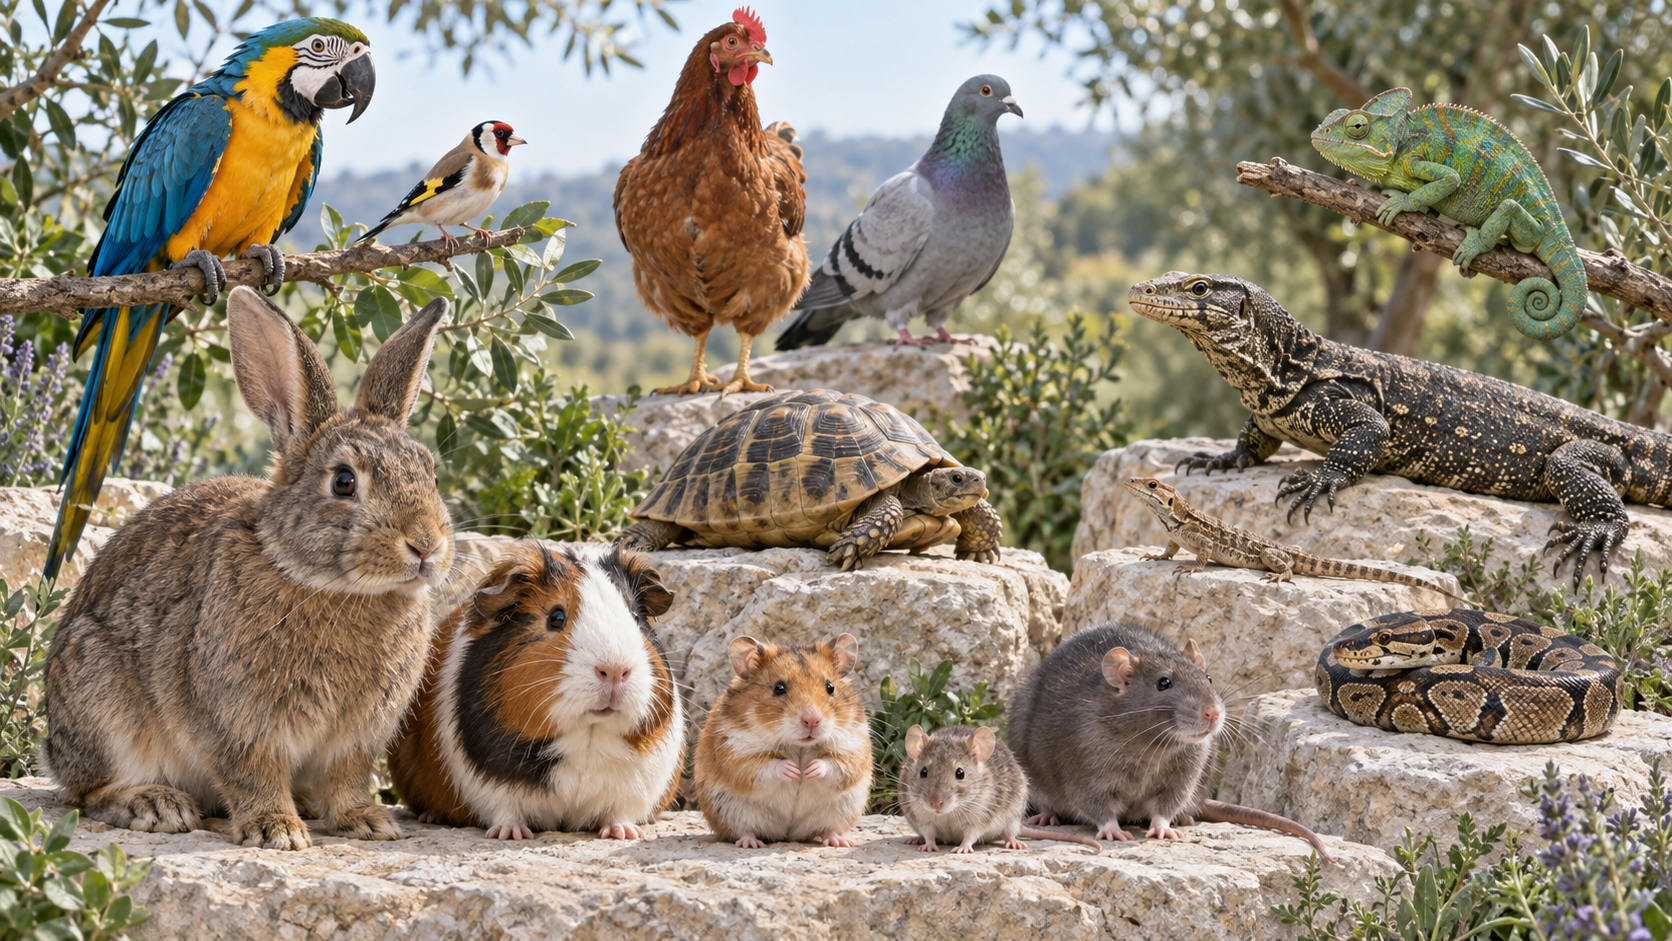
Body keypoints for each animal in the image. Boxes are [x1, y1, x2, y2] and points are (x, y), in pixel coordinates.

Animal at [43, 285, 455, 851]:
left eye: (431, 473)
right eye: (344, 482)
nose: (426, 545)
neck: (325, 583)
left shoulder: (355, 738)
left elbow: (346, 777)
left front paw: (367, 822)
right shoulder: (237, 721)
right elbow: (252, 771)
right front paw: (276, 830)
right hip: (102, 703)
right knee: (88, 793)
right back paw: (157, 803)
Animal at [388, 542, 684, 840]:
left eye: (635, 616)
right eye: (555, 617)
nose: (614, 670)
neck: (587, 736)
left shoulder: (634, 789)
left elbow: (619, 812)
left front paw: (624, 834)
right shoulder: (494, 790)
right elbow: (506, 812)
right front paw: (510, 835)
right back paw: (431, 816)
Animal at [693, 633, 873, 848]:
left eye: (830, 687)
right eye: (779, 688)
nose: (812, 720)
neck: (799, 745)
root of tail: (788, 835)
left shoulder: (853, 748)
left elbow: (832, 764)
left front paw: (808, 770)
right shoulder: (736, 753)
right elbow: (767, 766)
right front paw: (794, 771)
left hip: (842, 811)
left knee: (826, 829)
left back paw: (840, 842)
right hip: (730, 811)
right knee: (742, 830)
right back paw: (751, 844)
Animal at [898, 725, 1100, 854]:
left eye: (960, 773)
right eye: (923, 772)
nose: (936, 803)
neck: (950, 812)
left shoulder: (980, 817)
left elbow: (970, 835)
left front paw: (963, 848)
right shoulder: (922, 817)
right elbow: (929, 833)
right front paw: (927, 846)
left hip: (1013, 816)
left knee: (1009, 833)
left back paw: (1014, 843)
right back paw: (915, 839)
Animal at [1008, 622, 1335, 861]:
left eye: (1208, 678)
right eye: (1163, 683)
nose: (1213, 713)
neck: (1152, 744)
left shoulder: (1186, 769)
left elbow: (1168, 802)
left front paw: (1164, 827)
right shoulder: (1086, 764)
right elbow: (1094, 803)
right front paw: (1112, 830)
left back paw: (1185, 818)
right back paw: (1047, 816)